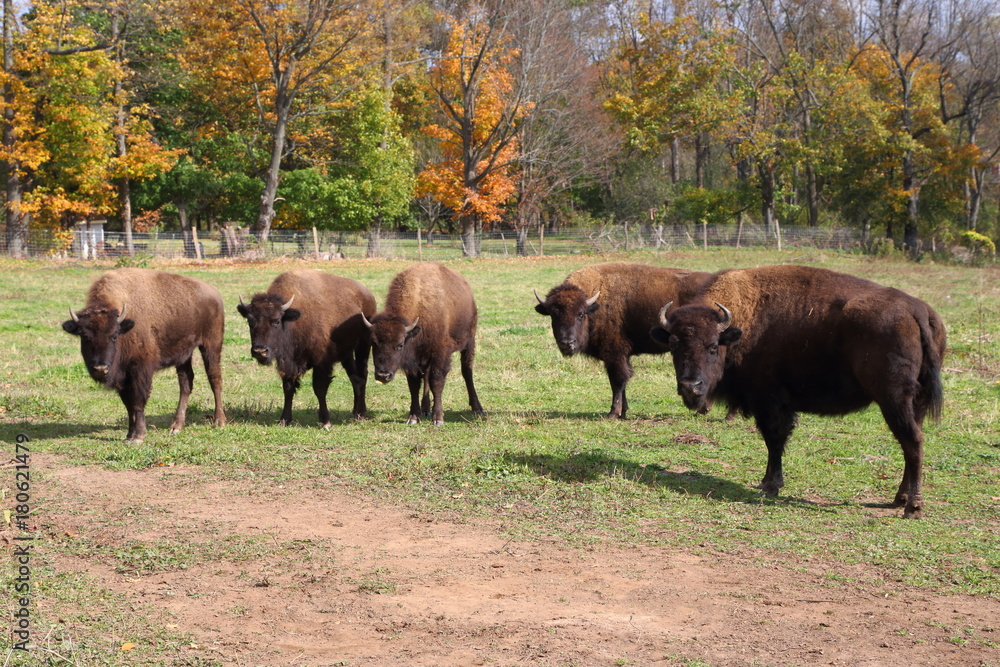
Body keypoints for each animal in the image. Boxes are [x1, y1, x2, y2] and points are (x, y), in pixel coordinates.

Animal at [62, 266, 227, 444]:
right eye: (85, 336)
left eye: (114, 336)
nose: (101, 368)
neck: (125, 325)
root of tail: (214, 292)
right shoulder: (123, 377)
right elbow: (128, 403)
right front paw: (129, 435)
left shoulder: (140, 370)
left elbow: (138, 401)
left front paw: (138, 436)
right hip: (184, 354)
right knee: (186, 383)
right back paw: (176, 426)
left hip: (211, 345)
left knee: (215, 379)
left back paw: (219, 421)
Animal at [236, 268, 376, 426]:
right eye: (250, 321)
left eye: (276, 321)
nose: (260, 351)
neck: (292, 320)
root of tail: (368, 295)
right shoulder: (287, 363)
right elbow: (288, 388)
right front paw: (284, 419)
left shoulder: (321, 362)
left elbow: (319, 388)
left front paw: (325, 421)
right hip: (346, 352)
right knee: (355, 377)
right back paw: (355, 412)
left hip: (363, 345)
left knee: (362, 374)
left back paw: (360, 413)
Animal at [366, 262, 486, 426]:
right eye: (374, 343)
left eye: (400, 344)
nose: (383, 375)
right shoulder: (413, 361)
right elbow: (414, 385)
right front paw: (413, 417)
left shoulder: (440, 354)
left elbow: (437, 382)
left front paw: (438, 418)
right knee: (427, 377)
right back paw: (425, 409)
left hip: (469, 342)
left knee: (467, 372)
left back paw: (477, 408)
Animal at [532, 260, 712, 418]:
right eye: (554, 315)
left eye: (580, 314)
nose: (567, 343)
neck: (596, 302)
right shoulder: (621, 356)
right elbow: (622, 382)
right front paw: (623, 412)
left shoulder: (614, 354)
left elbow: (618, 381)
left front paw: (613, 413)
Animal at [648, 264, 944, 520]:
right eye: (673, 345)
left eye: (712, 346)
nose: (690, 386)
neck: (741, 323)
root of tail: (917, 310)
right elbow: (773, 442)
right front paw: (766, 482)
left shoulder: (769, 402)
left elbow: (774, 440)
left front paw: (771, 485)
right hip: (914, 402)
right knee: (910, 443)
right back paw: (900, 498)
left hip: (893, 399)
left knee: (913, 442)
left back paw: (913, 507)